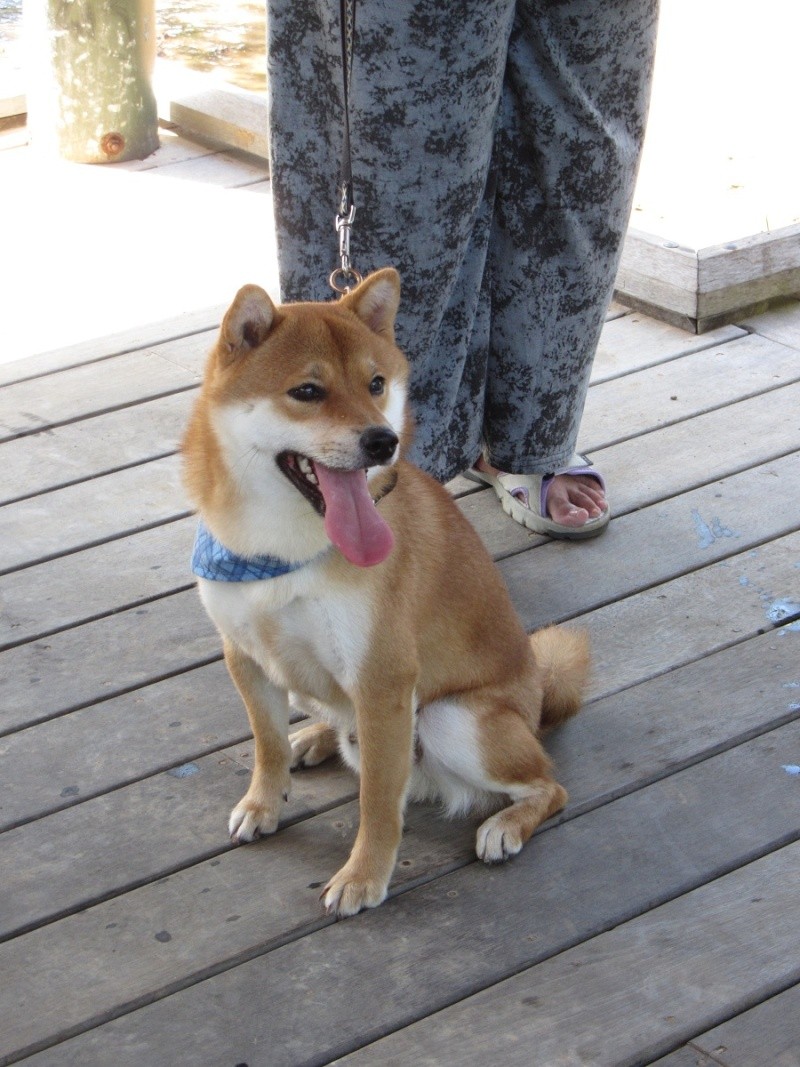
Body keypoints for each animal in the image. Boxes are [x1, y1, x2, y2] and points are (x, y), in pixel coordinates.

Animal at [184, 266, 593, 917]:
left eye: (376, 384)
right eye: (307, 391)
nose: (381, 441)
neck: (281, 551)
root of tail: (535, 702)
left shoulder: (382, 680)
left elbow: (377, 801)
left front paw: (363, 876)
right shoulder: (244, 654)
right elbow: (265, 746)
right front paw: (263, 803)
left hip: (452, 719)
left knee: (550, 785)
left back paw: (506, 825)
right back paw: (315, 736)